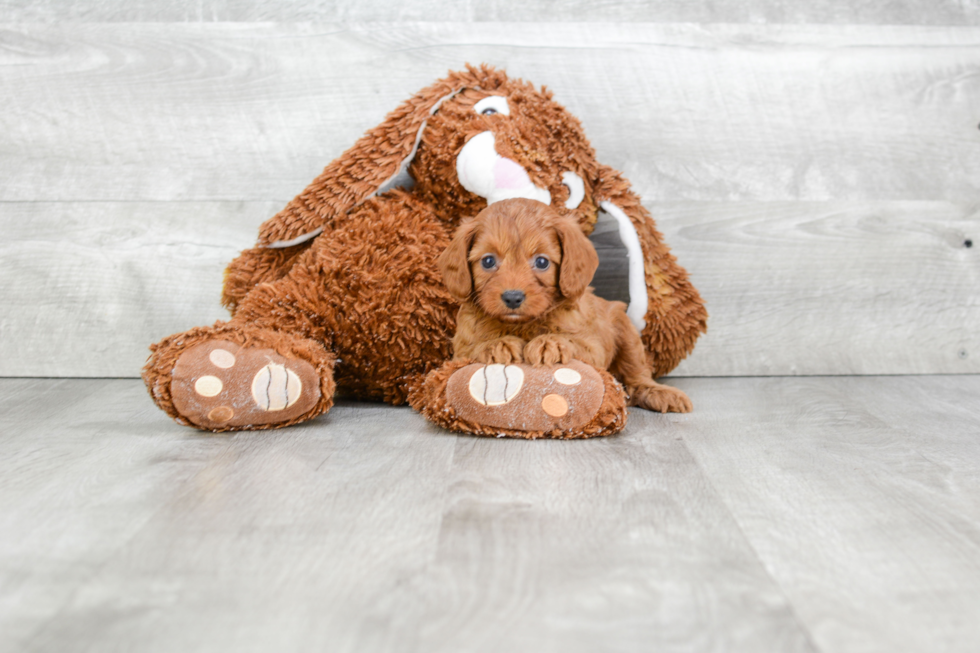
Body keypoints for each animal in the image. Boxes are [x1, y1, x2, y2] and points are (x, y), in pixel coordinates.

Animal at [440, 197, 692, 412]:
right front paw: (496, 345)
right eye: (488, 261)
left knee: (637, 373)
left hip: (625, 330)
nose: (512, 297)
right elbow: (473, 348)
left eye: (542, 262)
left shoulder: (593, 346)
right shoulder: (460, 349)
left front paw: (550, 342)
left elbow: (573, 341)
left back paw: (659, 392)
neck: (522, 324)